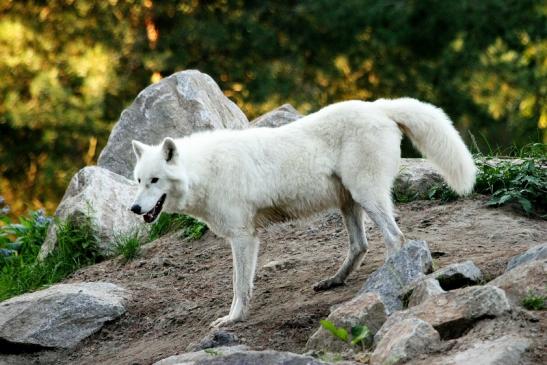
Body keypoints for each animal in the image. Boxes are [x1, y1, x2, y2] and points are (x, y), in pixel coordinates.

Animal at [131, 97, 478, 328]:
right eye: (138, 180)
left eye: (155, 180)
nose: (134, 208)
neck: (203, 171)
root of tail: (379, 106)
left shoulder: (243, 237)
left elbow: (239, 286)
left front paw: (233, 318)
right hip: (349, 203)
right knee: (360, 245)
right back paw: (334, 281)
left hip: (366, 196)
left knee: (396, 238)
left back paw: (387, 280)